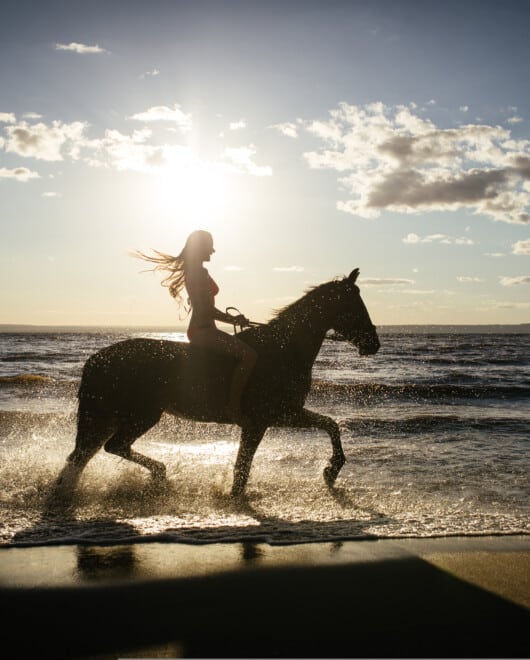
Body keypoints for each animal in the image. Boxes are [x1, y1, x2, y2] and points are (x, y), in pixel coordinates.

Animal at [53, 266, 378, 498]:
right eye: (355, 305)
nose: (373, 343)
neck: (283, 350)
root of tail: (96, 360)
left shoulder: (283, 415)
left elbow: (330, 425)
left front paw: (330, 472)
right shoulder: (266, 419)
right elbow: (243, 468)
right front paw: (331, 471)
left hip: (114, 416)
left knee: (87, 455)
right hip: (140, 415)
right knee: (110, 448)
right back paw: (158, 474)